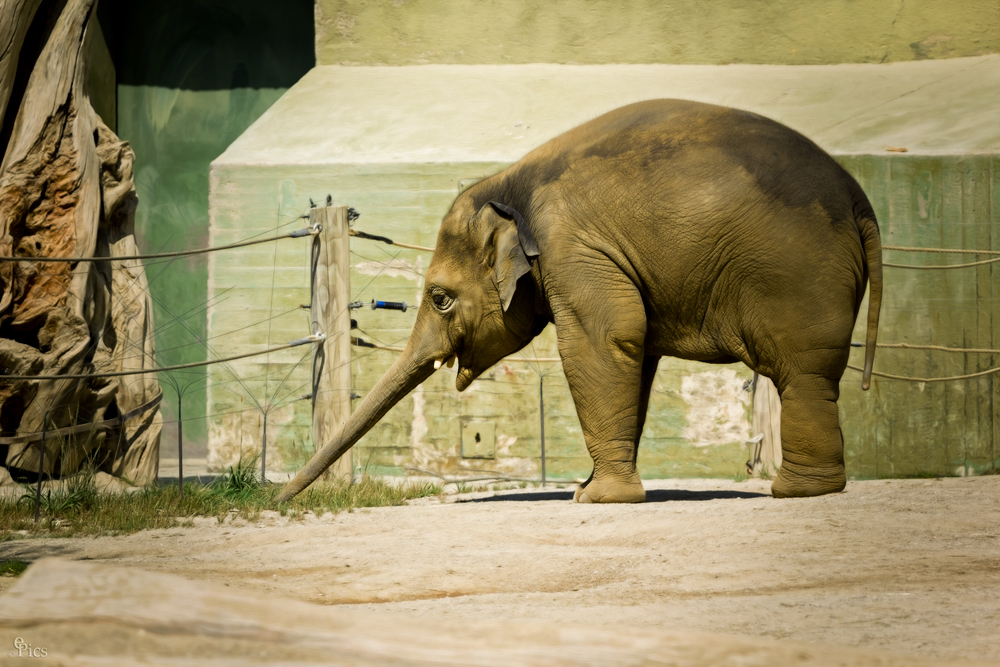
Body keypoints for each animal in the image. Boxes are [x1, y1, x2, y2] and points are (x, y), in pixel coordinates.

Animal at [276, 99, 884, 504]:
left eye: (440, 298)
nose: (276, 501)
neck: (510, 184)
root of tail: (859, 201)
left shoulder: (572, 249)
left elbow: (604, 339)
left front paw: (594, 499)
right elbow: (634, 354)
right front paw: (593, 489)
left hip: (797, 274)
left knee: (801, 372)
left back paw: (795, 492)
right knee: (813, 375)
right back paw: (814, 488)